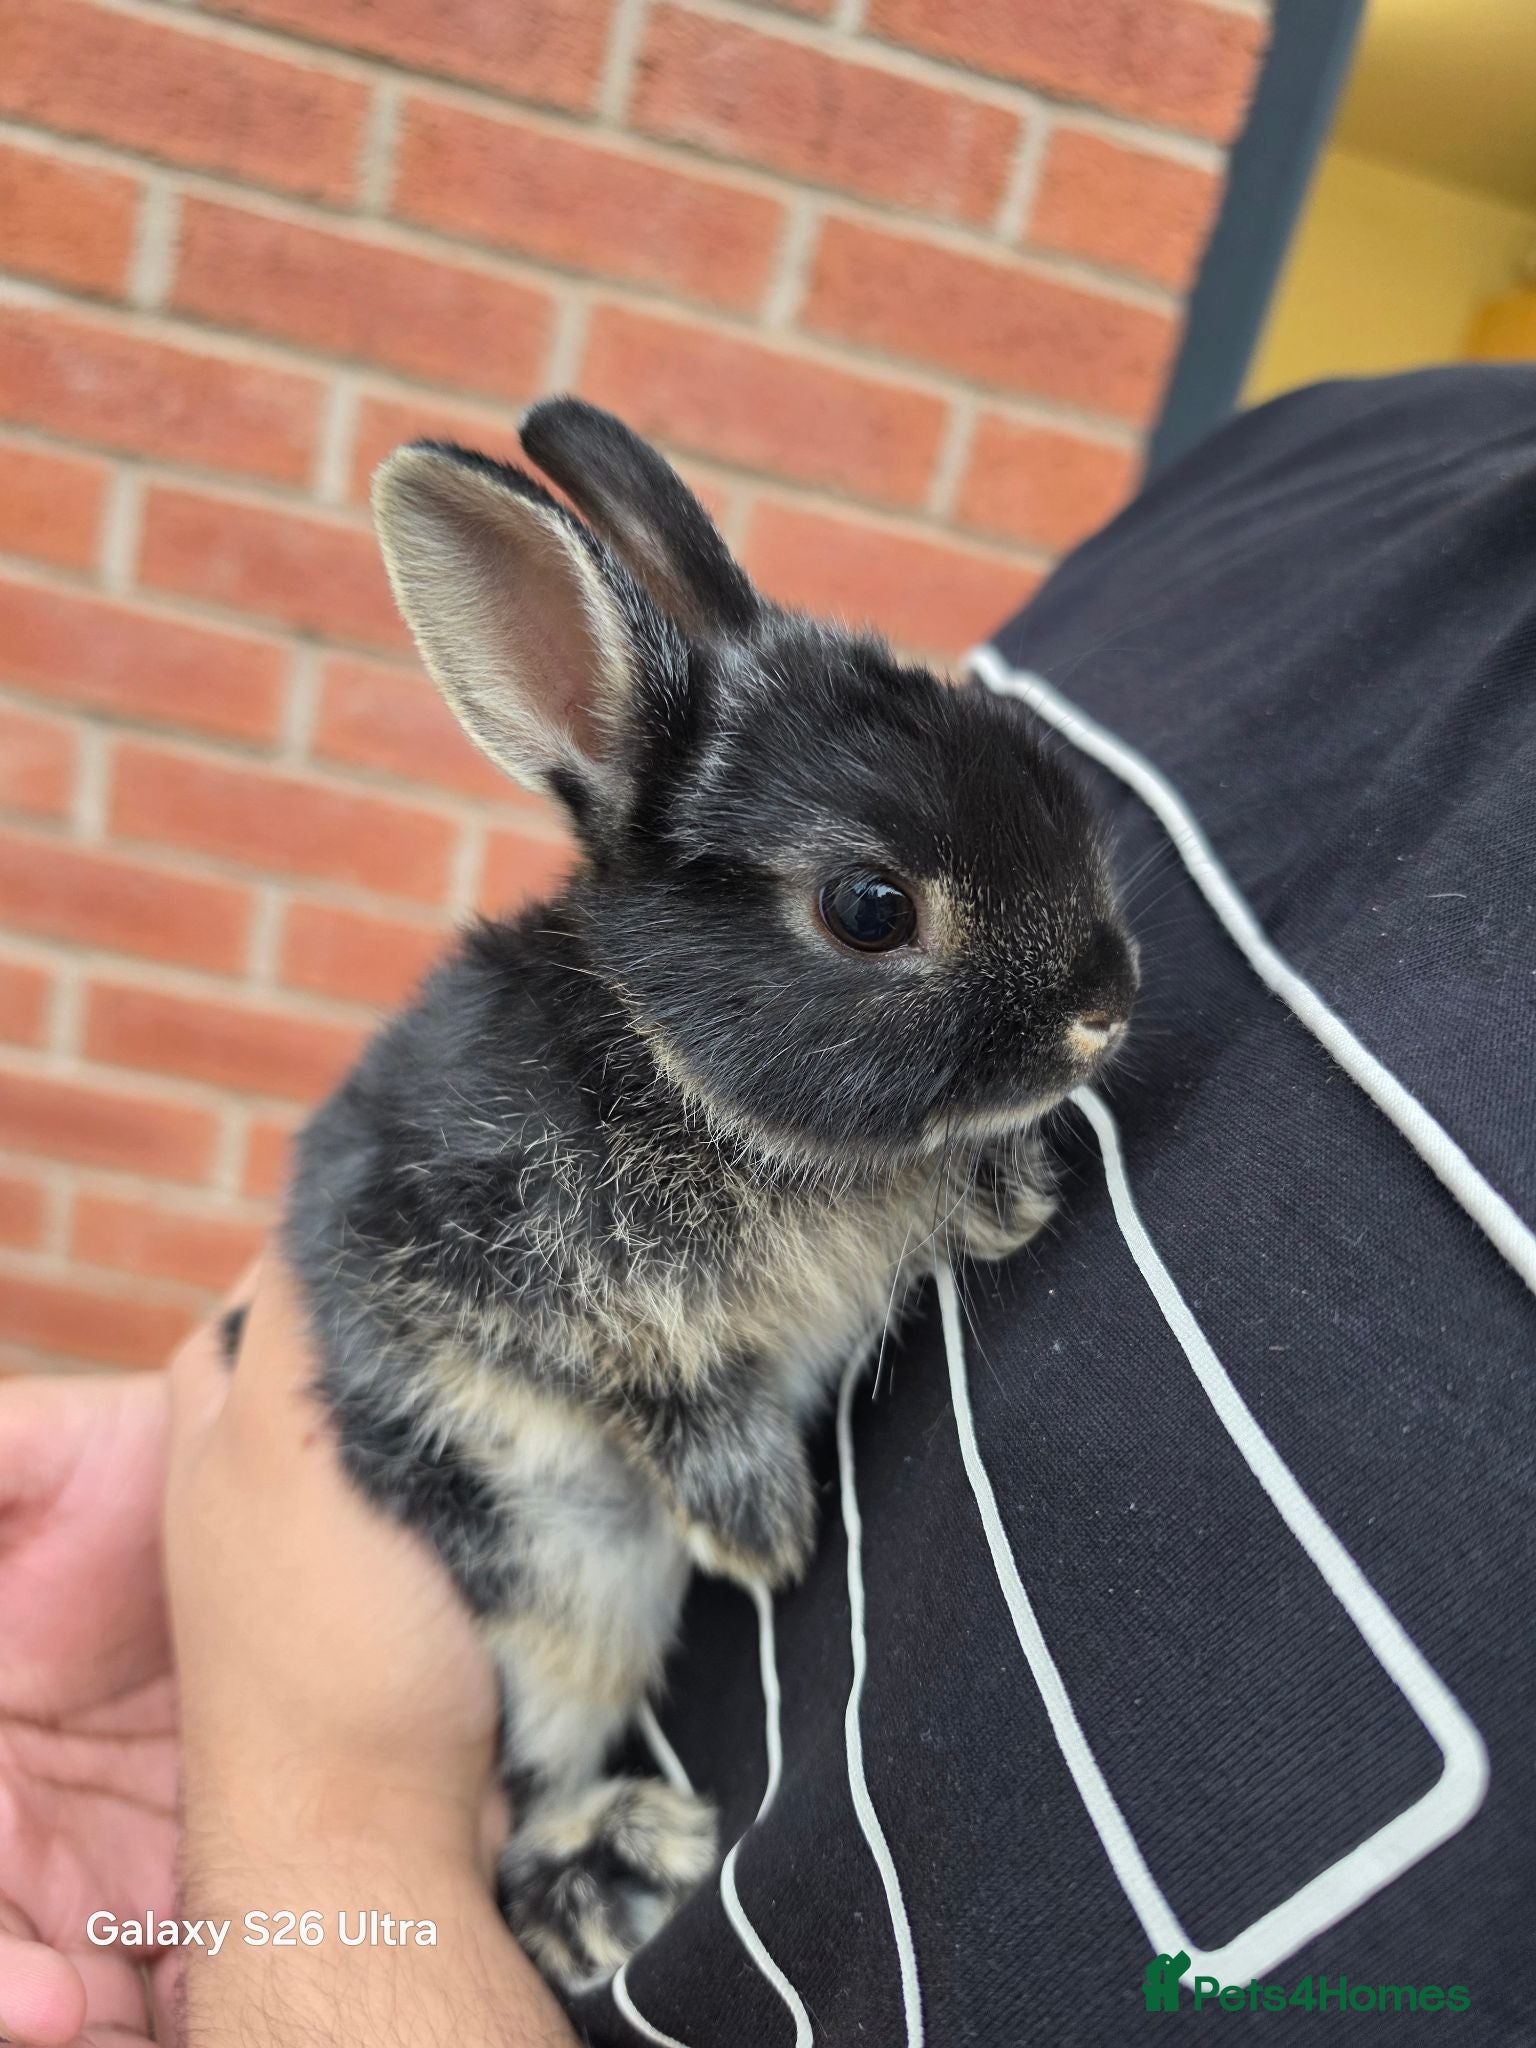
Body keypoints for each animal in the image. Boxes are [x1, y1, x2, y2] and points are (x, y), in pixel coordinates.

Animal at [275, 397, 1139, 1995]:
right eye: (870, 909)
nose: (1103, 1010)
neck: (681, 1073)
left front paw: (1006, 1192)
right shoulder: (518, 1302)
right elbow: (672, 1396)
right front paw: (764, 1528)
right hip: (555, 1578)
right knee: (525, 1791)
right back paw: (615, 1866)